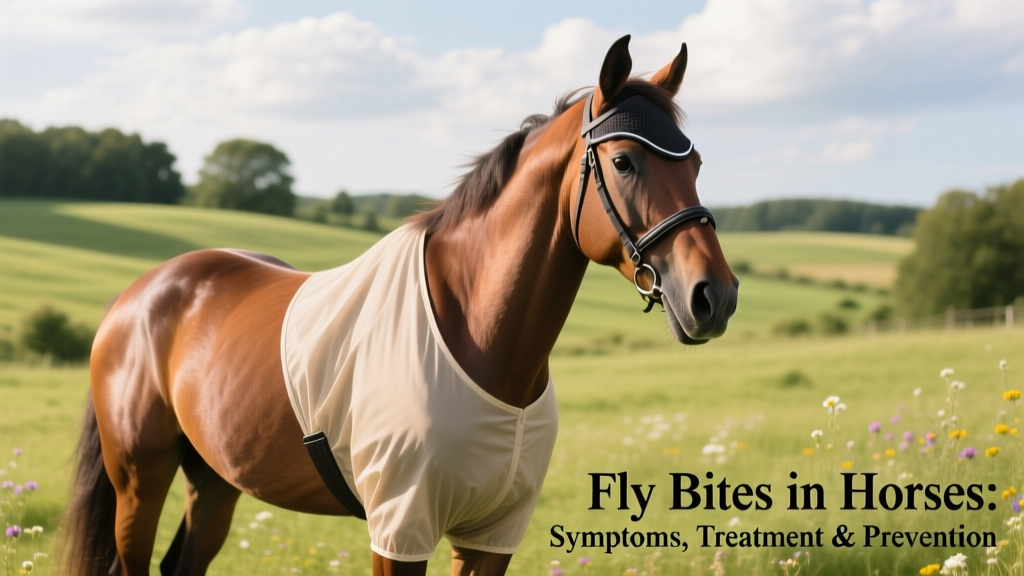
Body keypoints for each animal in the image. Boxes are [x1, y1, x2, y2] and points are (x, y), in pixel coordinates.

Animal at [62, 35, 738, 576]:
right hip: (139, 482)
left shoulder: (491, 535)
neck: (476, 336)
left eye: (698, 163)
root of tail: (138, 294)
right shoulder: (399, 528)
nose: (715, 297)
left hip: (214, 481)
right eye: (624, 161)